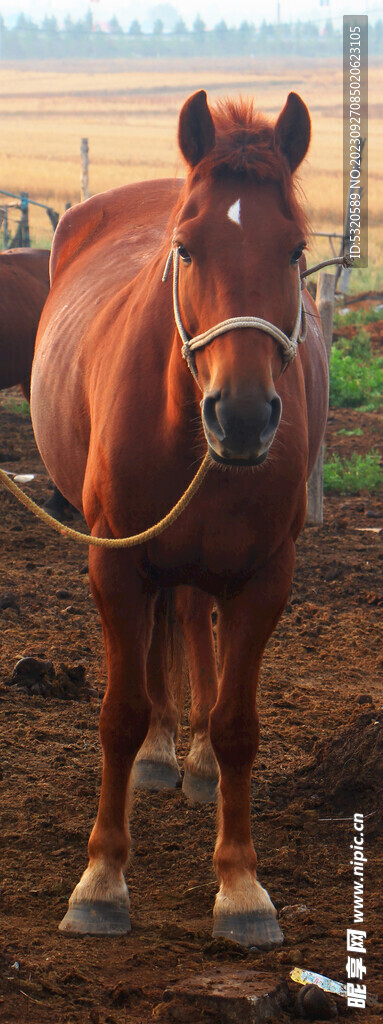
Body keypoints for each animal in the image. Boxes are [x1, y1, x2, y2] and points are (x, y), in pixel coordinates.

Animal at [30, 92, 329, 946]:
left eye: (294, 250)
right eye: (187, 250)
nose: (242, 414)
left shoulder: (266, 579)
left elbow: (236, 725)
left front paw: (241, 887)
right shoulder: (114, 563)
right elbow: (119, 713)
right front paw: (100, 881)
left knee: (191, 618)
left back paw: (189, 761)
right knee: (167, 630)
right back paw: (163, 753)